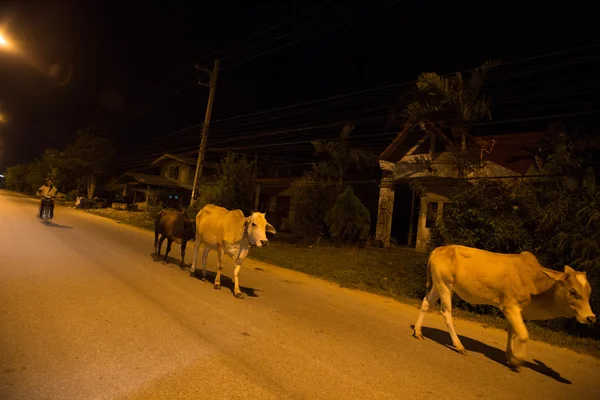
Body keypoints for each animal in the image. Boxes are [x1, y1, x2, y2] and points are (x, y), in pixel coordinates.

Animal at [412, 245, 596, 370]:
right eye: (573, 291)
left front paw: (510, 357)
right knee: (446, 313)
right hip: (446, 285)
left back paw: (419, 332)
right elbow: (523, 335)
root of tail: (438, 250)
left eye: (589, 292)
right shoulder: (510, 306)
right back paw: (460, 346)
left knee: (426, 302)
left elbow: (513, 333)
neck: (535, 281)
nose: (591, 317)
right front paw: (518, 361)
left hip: (438, 285)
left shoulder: (517, 311)